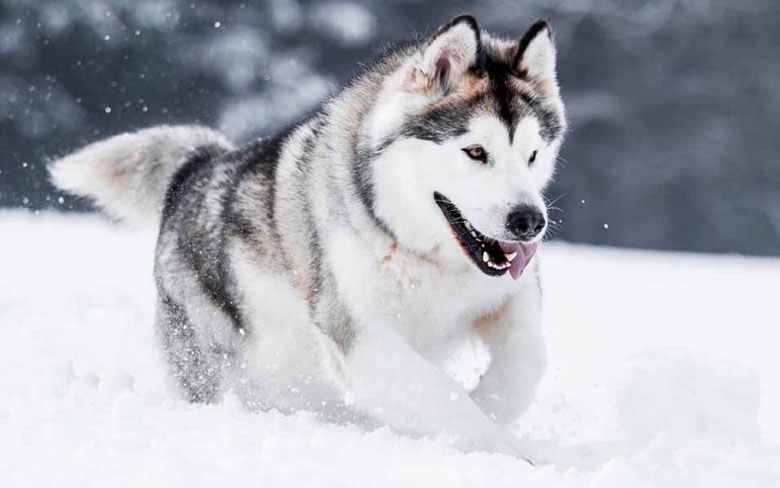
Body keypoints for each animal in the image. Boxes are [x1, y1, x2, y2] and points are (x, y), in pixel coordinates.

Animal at [53, 16, 568, 458]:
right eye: (475, 152)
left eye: (532, 154)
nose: (529, 221)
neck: (420, 252)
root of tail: (199, 165)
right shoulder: (360, 335)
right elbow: (442, 396)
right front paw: (503, 452)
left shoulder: (508, 296)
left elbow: (528, 364)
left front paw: (487, 409)